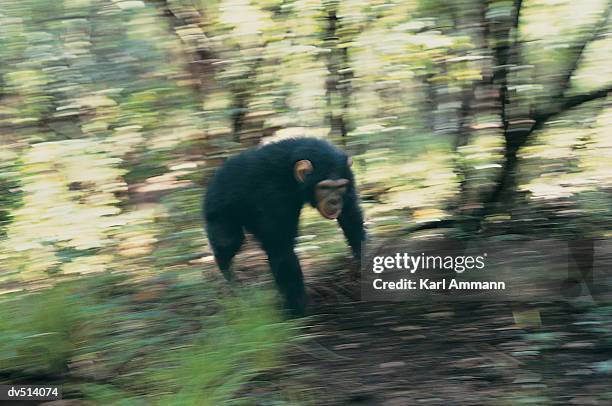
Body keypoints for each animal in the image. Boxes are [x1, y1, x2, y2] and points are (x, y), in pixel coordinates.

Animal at [203, 138, 366, 316]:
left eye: (340, 186)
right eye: (324, 187)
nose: (335, 201)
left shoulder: (349, 178)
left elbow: (349, 214)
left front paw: (361, 260)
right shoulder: (276, 196)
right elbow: (281, 248)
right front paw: (297, 309)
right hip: (218, 205)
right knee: (227, 241)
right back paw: (229, 277)